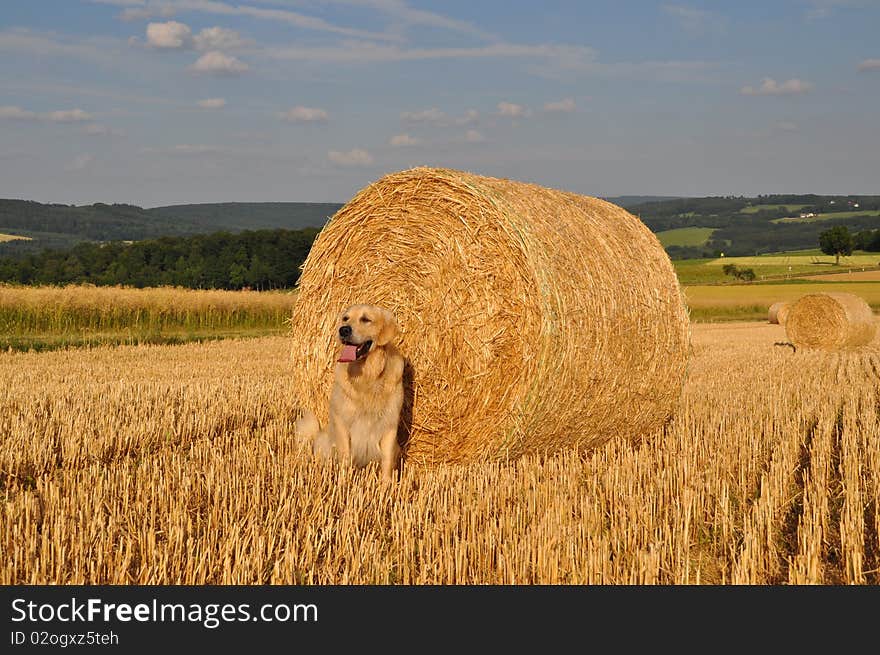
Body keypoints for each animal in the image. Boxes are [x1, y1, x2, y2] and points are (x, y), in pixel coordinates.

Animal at [296, 304, 406, 482]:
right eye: (345, 318)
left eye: (366, 319)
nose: (343, 330)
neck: (367, 377)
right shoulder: (342, 421)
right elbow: (345, 456)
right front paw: (344, 483)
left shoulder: (390, 424)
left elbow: (387, 461)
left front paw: (386, 485)